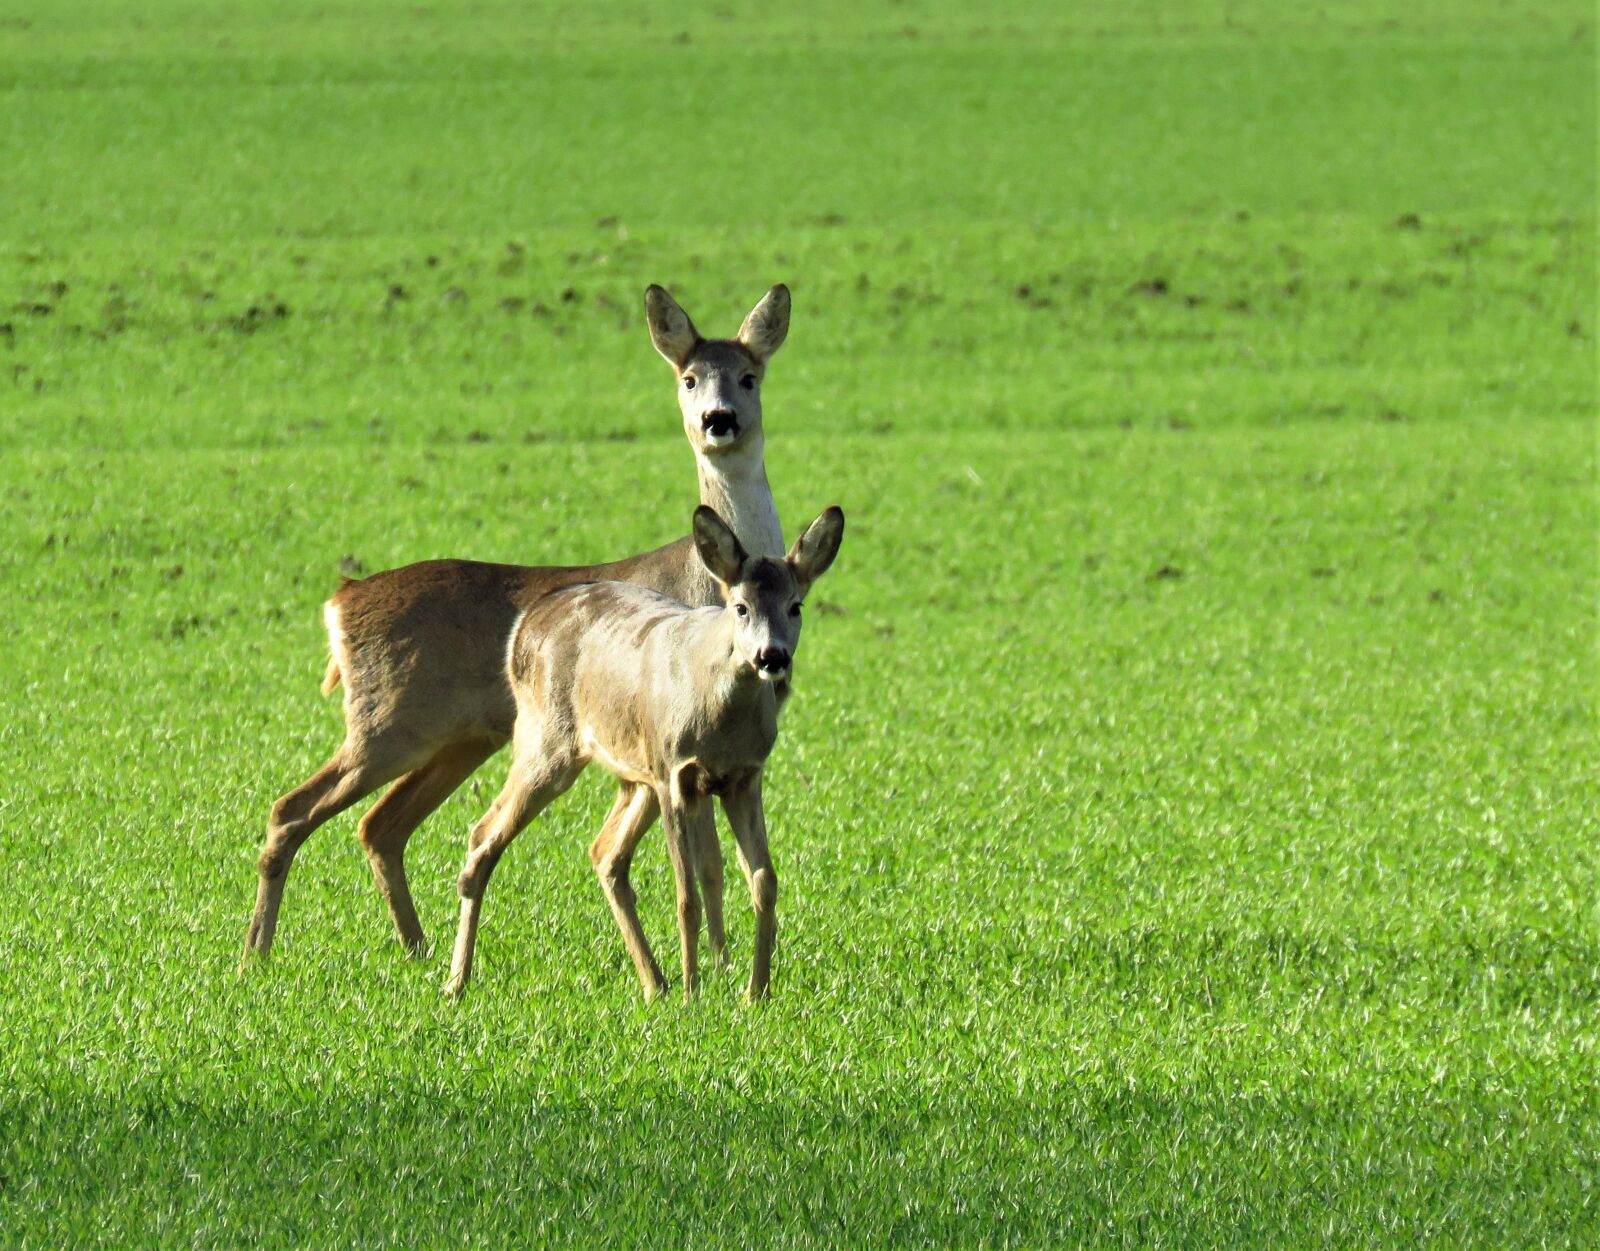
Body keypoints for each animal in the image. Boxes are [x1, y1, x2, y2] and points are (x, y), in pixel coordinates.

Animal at [243, 284, 795, 966]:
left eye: (749, 376)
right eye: (688, 378)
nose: (719, 420)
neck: (711, 581)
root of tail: (340, 602)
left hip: (459, 738)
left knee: (380, 824)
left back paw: (418, 952)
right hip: (387, 724)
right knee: (292, 809)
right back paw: (257, 955)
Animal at [444, 503, 845, 1001]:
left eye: (796, 605)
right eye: (741, 606)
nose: (772, 656)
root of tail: (527, 622)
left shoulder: (742, 776)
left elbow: (760, 879)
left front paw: (754, 992)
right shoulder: (673, 772)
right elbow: (687, 894)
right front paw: (696, 993)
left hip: (635, 776)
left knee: (605, 852)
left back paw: (655, 982)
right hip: (548, 741)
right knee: (484, 834)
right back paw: (456, 982)